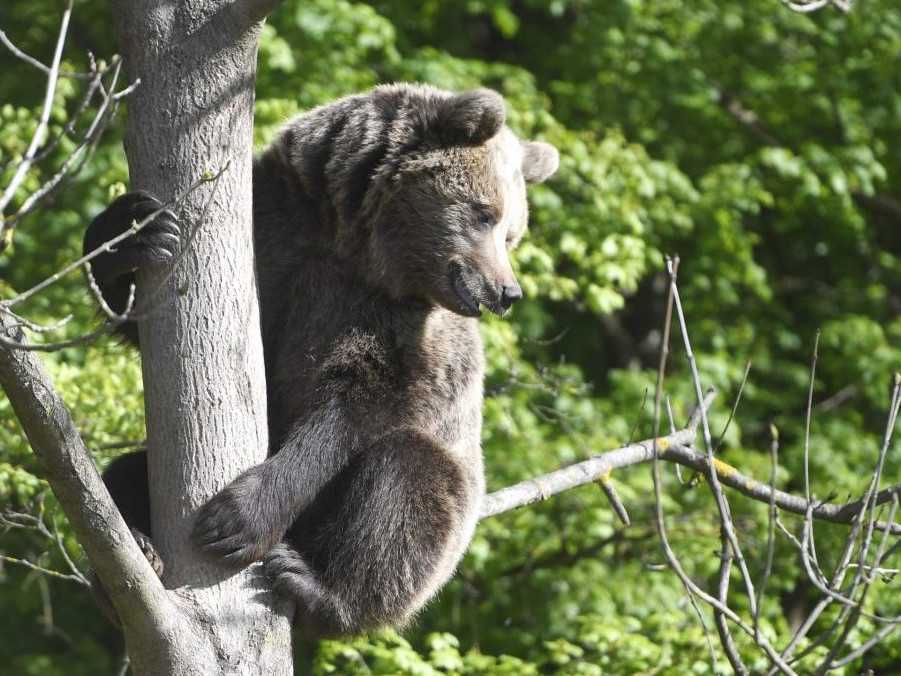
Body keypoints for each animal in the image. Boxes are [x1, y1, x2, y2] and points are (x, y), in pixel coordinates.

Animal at [86, 83, 564, 632]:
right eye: (485, 213)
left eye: (512, 233)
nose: (506, 292)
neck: (353, 243)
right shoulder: (273, 239)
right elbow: (139, 315)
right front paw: (135, 230)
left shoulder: (391, 326)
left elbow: (354, 405)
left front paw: (236, 518)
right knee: (125, 474)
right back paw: (137, 550)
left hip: (448, 513)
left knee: (408, 484)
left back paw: (316, 584)